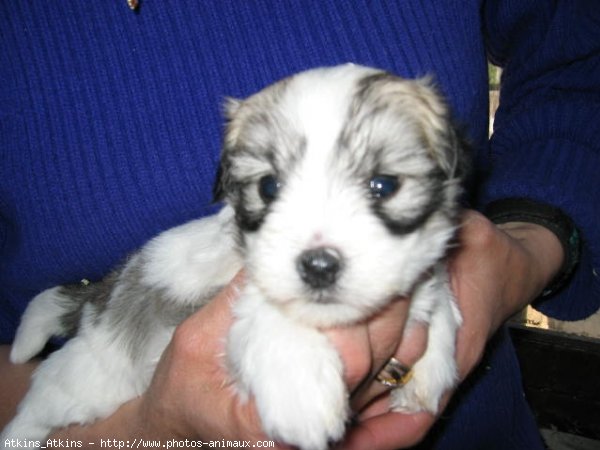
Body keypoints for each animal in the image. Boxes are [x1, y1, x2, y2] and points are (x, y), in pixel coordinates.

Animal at [2, 64, 466, 450]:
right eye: (269, 187)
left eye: (383, 185)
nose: (318, 266)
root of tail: (100, 294)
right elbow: (269, 311)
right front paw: (300, 389)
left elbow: (435, 294)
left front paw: (431, 366)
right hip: (88, 378)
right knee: (41, 403)